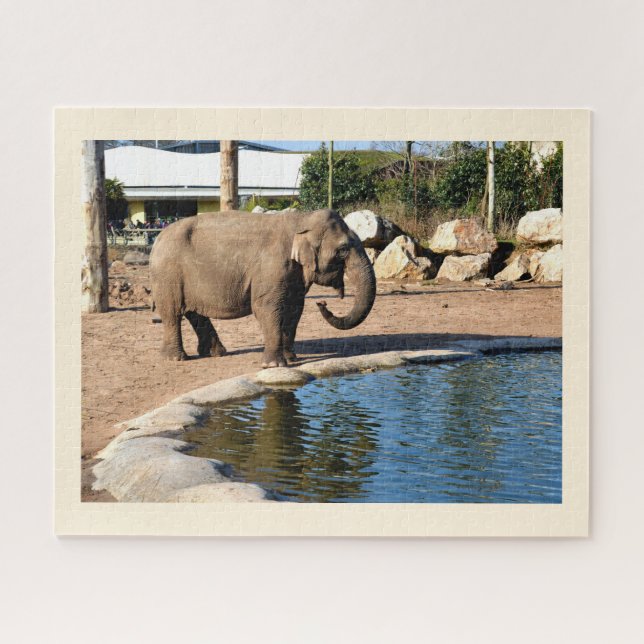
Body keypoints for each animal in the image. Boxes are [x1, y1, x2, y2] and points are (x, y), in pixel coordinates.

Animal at [149, 208, 377, 367]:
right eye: (343, 249)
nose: (323, 303)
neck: (302, 218)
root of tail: (156, 239)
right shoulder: (272, 266)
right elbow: (266, 307)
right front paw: (274, 365)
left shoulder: (293, 273)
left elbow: (295, 309)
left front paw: (291, 359)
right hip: (168, 274)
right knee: (173, 313)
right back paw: (176, 359)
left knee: (194, 313)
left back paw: (215, 353)